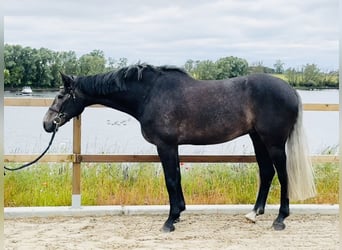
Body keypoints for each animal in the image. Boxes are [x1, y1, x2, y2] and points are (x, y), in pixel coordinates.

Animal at [42, 64, 316, 232]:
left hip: (274, 142)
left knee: (282, 174)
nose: (47, 123)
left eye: (61, 96)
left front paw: (170, 220)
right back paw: (254, 213)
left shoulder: (166, 146)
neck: (150, 94)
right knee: (266, 172)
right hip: (257, 138)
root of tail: (290, 89)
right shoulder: (173, 147)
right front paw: (179, 213)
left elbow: (171, 180)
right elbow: (177, 179)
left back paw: (280, 219)